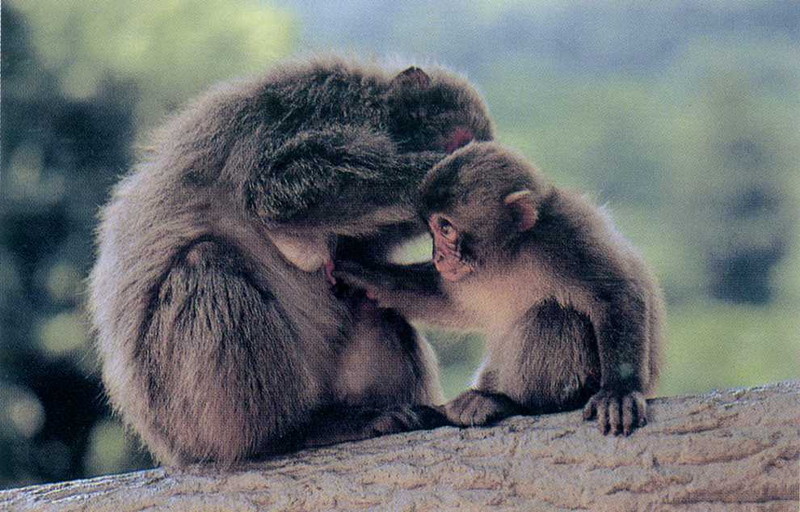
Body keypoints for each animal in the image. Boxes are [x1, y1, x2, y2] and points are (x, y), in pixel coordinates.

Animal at [90, 57, 496, 464]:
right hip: (183, 411)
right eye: (460, 141)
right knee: (204, 262)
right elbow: (275, 187)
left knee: (366, 302)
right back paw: (290, 433)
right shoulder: (321, 105)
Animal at [334, 141, 664, 436]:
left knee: (553, 315)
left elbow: (615, 295)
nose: (438, 256)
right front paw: (364, 274)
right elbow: (445, 300)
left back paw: (510, 403)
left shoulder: (567, 236)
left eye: (446, 228)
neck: (512, 251)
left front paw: (620, 391)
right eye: (432, 229)